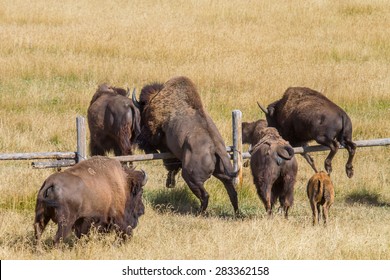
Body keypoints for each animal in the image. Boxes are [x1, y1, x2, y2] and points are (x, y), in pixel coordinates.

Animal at [133, 75, 239, 213]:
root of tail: (215, 149)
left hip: (190, 176)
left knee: (205, 195)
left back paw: (199, 212)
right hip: (223, 172)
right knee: (232, 191)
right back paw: (236, 212)